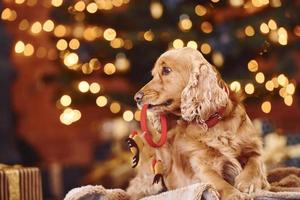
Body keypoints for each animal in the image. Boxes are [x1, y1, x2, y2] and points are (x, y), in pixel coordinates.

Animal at [126, 47, 270, 199]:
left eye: (166, 70)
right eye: (153, 75)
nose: (136, 97)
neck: (213, 123)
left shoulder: (253, 148)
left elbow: (255, 163)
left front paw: (248, 183)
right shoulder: (202, 166)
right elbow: (218, 183)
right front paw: (234, 194)